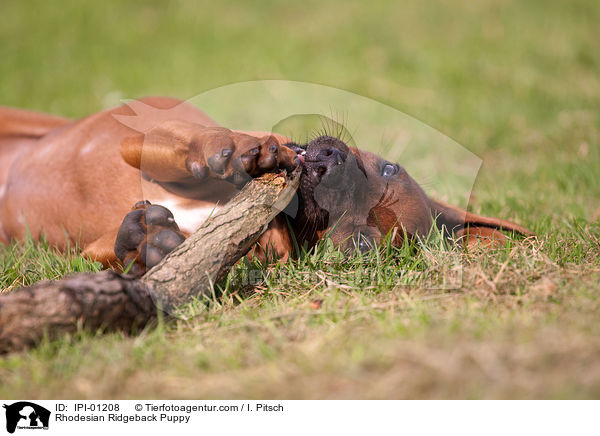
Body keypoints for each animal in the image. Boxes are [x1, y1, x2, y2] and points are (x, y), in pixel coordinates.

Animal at [2, 96, 532, 274]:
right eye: (390, 168)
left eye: (362, 245)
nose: (328, 164)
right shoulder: (150, 131)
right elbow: (198, 143)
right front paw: (241, 152)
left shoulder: (90, 246)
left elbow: (114, 249)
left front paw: (147, 242)